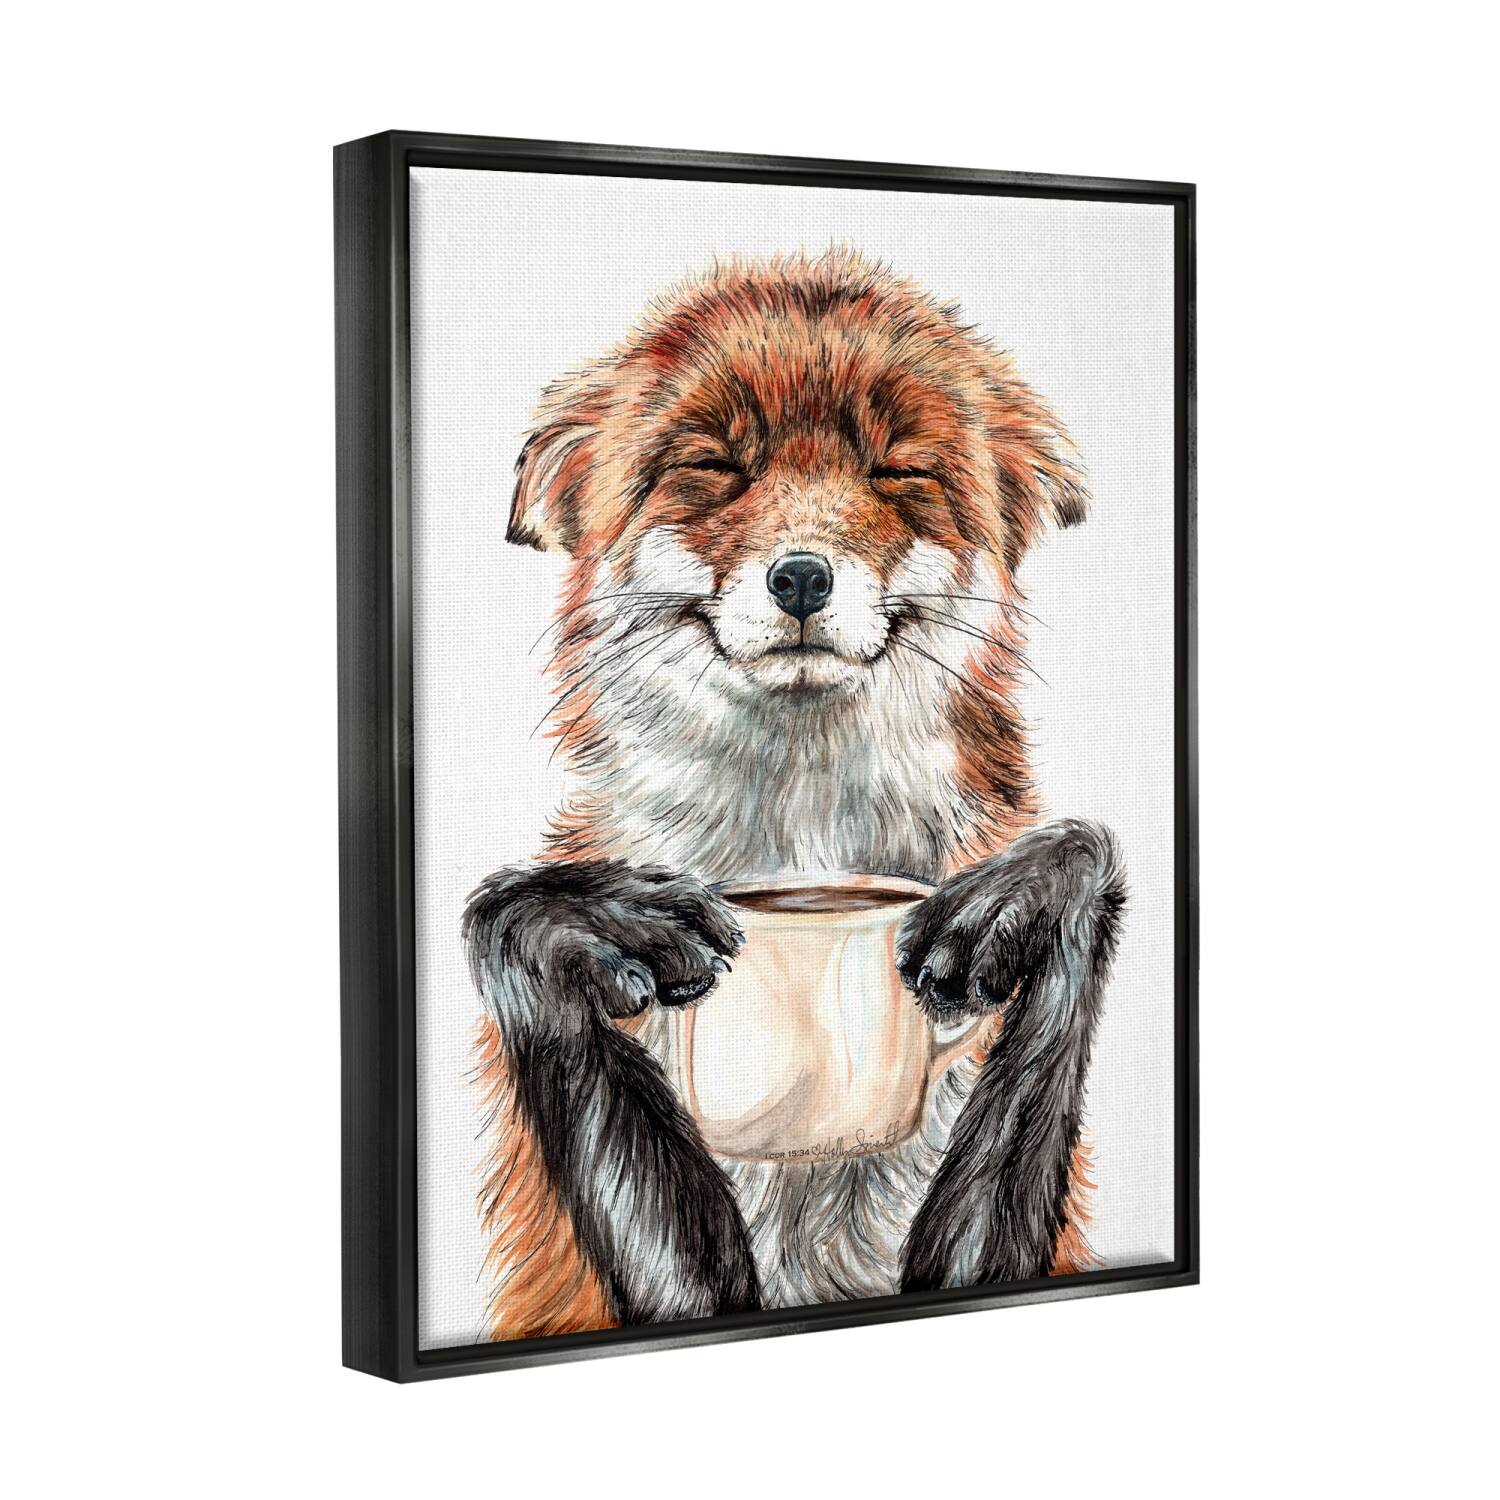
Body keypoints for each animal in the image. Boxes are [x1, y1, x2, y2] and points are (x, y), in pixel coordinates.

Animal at [462, 249, 1126, 1340]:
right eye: (715, 467)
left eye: (897, 470)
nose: (803, 578)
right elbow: (509, 922)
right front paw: (582, 921)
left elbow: (1078, 865)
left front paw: (1029, 899)